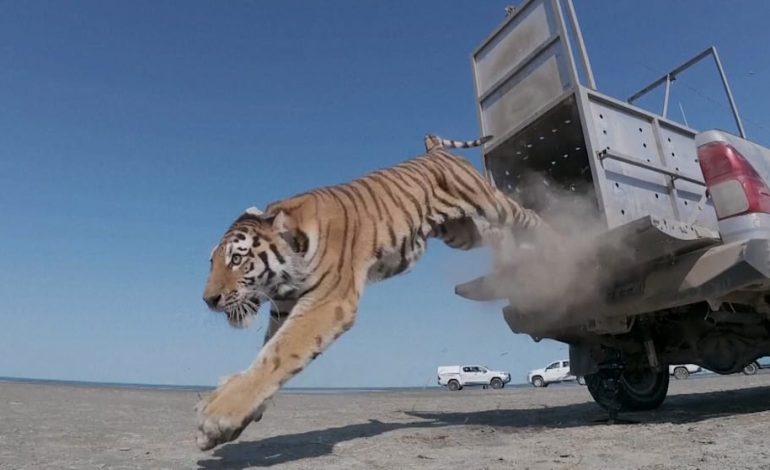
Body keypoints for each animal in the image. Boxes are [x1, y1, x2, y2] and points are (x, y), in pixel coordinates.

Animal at [196, 133, 554, 450]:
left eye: (237, 259)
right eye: (212, 261)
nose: (208, 300)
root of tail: (435, 151)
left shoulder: (328, 302)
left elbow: (279, 354)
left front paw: (217, 414)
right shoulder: (284, 308)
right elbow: (266, 355)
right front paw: (230, 421)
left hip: (488, 202)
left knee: (527, 217)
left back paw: (559, 239)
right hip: (462, 232)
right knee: (499, 234)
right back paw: (514, 260)